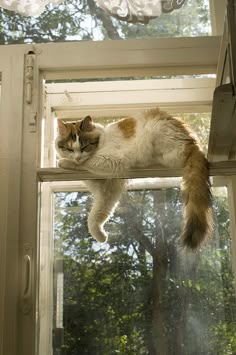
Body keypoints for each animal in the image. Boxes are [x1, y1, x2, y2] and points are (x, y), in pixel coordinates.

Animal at [55, 108, 214, 250]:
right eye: (69, 149)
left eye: (85, 146)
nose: (77, 157)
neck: (101, 141)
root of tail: (193, 142)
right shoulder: (108, 190)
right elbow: (96, 215)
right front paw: (100, 236)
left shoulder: (112, 161)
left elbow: (86, 163)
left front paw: (65, 162)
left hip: (156, 134)